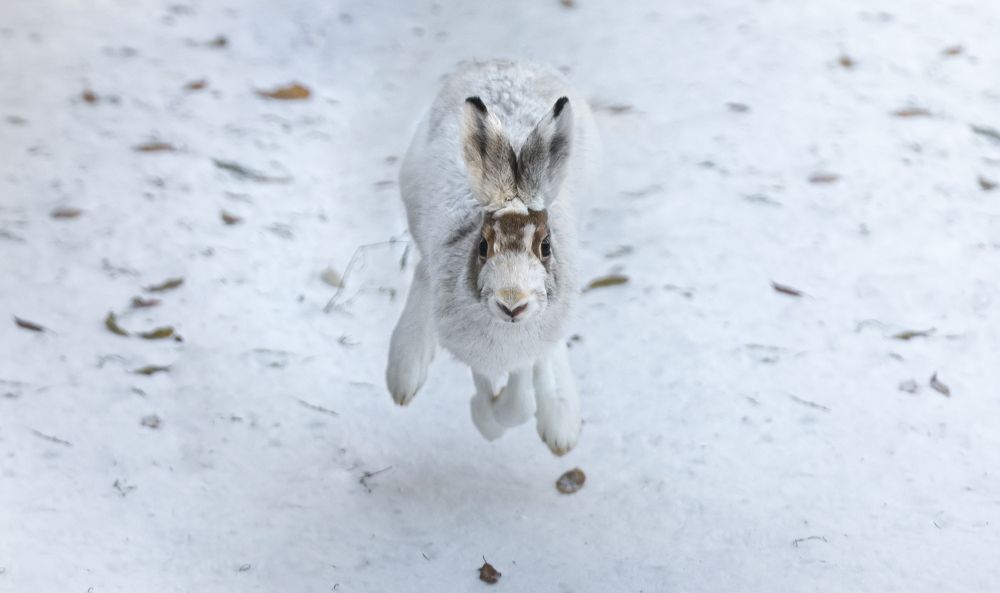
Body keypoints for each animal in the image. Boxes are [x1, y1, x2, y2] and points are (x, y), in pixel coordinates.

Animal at [386, 60, 600, 455]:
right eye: (483, 246)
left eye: (546, 246)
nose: (511, 303)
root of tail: (508, 62)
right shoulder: (472, 347)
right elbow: (487, 384)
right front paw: (486, 421)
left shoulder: (529, 347)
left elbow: (520, 401)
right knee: (423, 269)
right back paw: (405, 372)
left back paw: (560, 417)